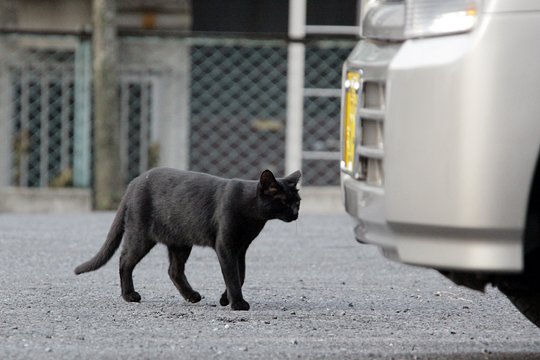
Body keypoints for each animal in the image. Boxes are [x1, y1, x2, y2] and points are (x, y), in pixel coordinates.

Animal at [74, 167, 302, 310]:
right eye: (284, 202)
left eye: (298, 201)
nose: (296, 214)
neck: (252, 214)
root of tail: (136, 181)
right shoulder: (226, 246)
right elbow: (232, 276)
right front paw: (237, 304)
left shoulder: (241, 249)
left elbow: (241, 275)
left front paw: (225, 299)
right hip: (141, 236)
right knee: (124, 261)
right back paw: (130, 295)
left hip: (180, 242)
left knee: (173, 270)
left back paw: (191, 296)